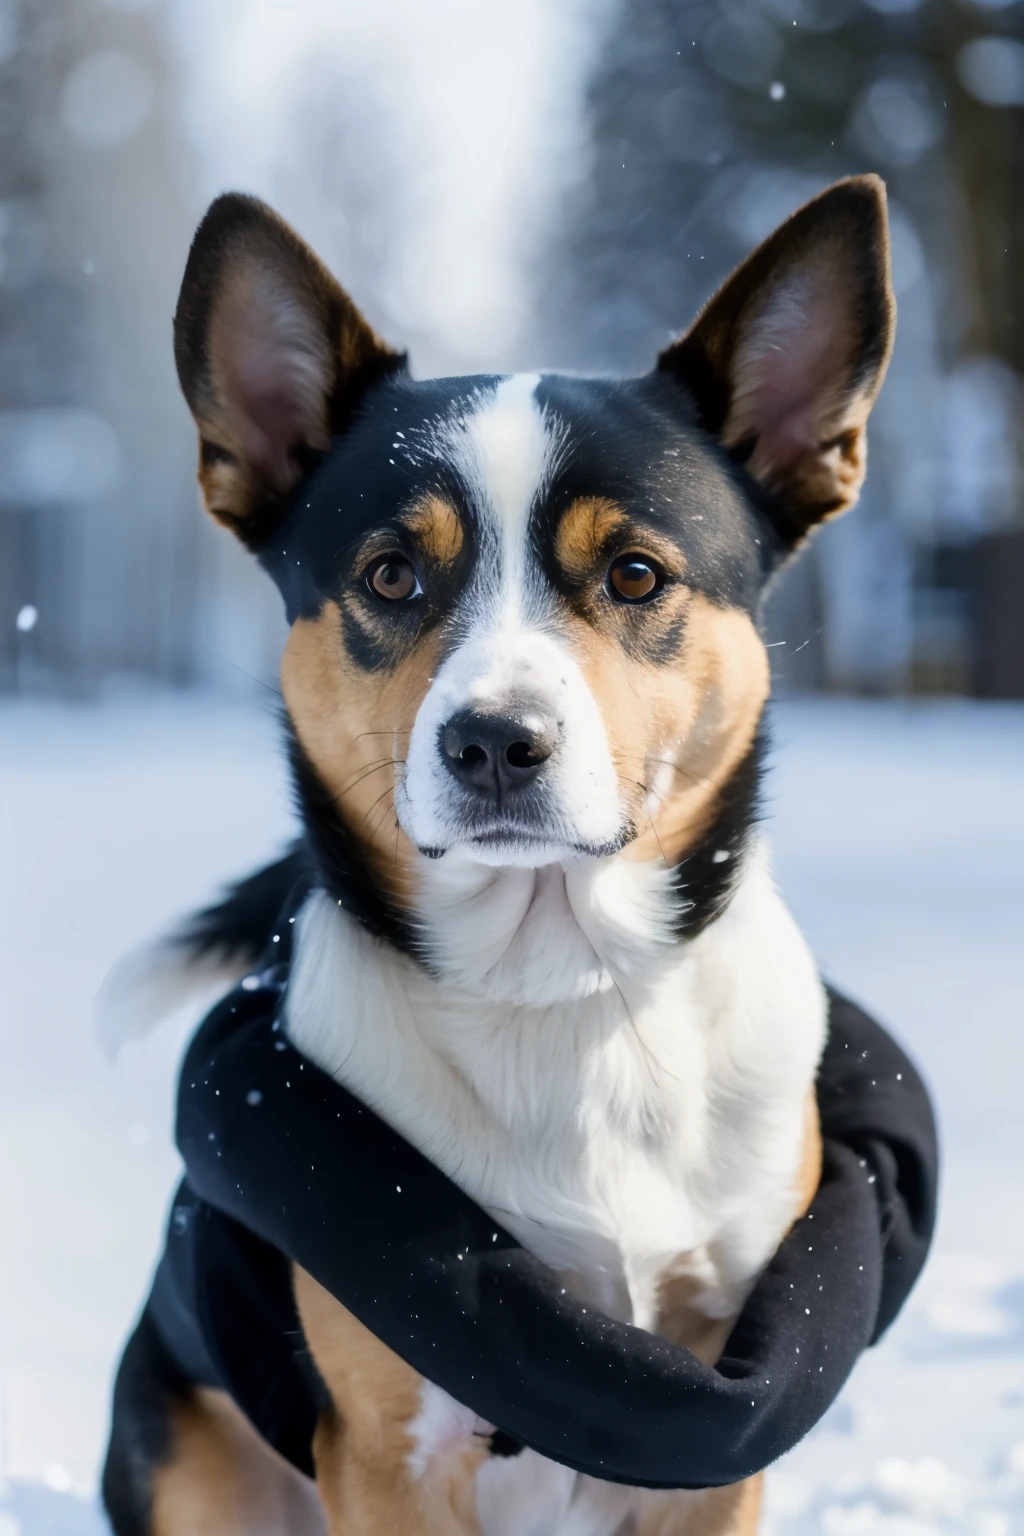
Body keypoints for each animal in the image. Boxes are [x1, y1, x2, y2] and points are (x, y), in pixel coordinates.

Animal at [99, 179, 890, 1536]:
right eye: (388, 574)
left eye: (635, 572)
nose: (493, 743)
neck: (563, 991)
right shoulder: (393, 1452)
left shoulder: (713, 1438)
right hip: (193, 1470)